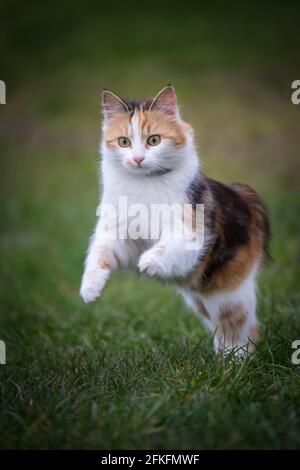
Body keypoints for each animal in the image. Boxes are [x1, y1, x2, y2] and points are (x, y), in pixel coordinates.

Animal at [80, 85, 270, 356]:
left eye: (154, 140)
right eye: (124, 142)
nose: (137, 159)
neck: (144, 185)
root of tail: (244, 197)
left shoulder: (189, 233)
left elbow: (164, 248)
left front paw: (148, 264)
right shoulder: (121, 235)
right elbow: (99, 255)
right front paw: (89, 290)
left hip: (229, 296)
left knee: (241, 329)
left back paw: (235, 363)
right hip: (199, 300)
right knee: (220, 330)